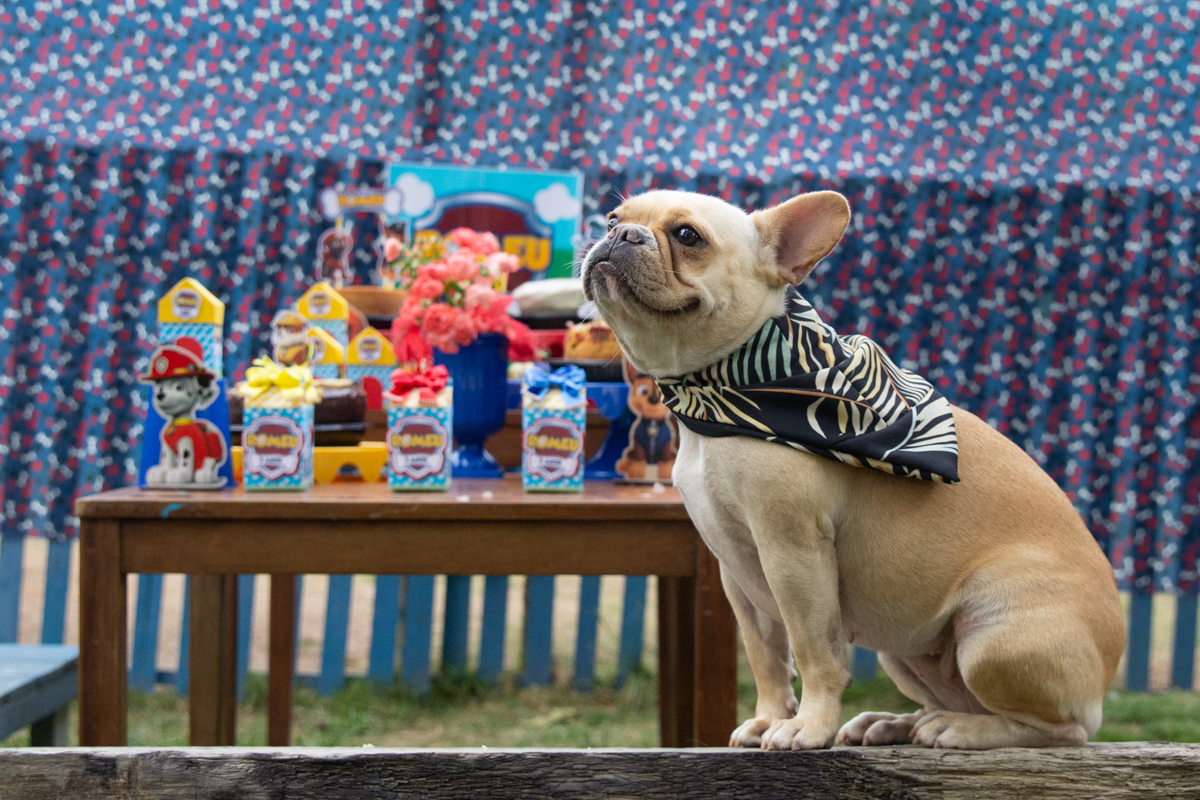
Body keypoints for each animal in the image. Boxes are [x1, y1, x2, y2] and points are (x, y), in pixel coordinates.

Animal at [581, 189, 1124, 750]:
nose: (620, 235)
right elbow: (765, 655)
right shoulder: (737, 572)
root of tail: (1104, 678)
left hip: (994, 637)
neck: (718, 388)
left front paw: (808, 726)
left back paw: (960, 728)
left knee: (1060, 730)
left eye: (688, 237)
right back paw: (900, 723)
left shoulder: (792, 552)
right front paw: (769, 717)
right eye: (613, 219)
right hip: (907, 655)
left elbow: (813, 651)